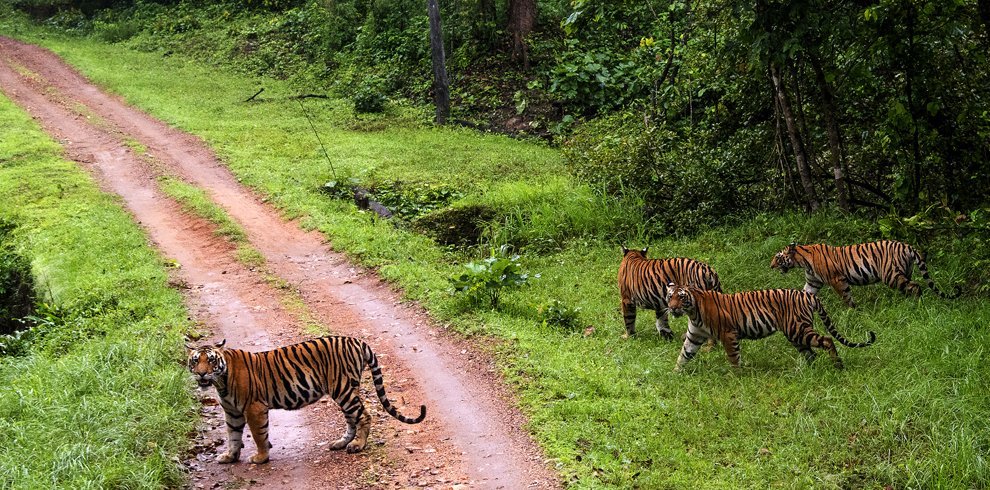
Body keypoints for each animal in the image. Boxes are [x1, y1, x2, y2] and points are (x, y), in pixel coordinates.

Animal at [186, 334, 426, 466]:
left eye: (211, 361)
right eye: (196, 361)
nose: (202, 374)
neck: (221, 382)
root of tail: (356, 340)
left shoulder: (254, 408)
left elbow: (259, 435)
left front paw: (261, 458)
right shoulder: (232, 412)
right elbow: (233, 435)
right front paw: (230, 456)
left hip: (343, 388)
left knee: (364, 416)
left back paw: (358, 445)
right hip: (347, 390)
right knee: (352, 418)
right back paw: (341, 443)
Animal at [668, 284, 876, 372]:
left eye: (681, 297)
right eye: (670, 296)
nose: (672, 308)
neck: (693, 312)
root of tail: (808, 295)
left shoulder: (728, 334)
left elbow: (733, 357)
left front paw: (736, 376)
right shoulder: (694, 336)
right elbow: (683, 355)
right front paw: (675, 374)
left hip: (798, 329)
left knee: (827, 339)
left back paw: (838, 366)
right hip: (796, 334)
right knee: (811, 353)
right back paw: (808, 371)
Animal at [772, 240, 964, 306]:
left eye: (778, 257)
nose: (770, 265)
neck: (803, 261)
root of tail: (907, 246)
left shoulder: (837, 279)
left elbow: (846, 296)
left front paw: (853, 311)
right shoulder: (813, 282)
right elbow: (805, 293)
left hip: (891, 275)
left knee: (915, 286)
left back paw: (916, 305)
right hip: (904, 272)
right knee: (909, 286)